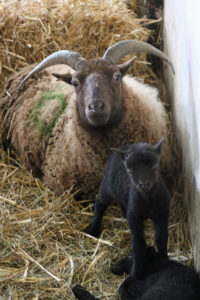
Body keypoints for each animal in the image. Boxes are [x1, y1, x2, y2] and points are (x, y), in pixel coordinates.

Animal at [86, 139, 170, 278]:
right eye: (129, 170)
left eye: (154, 166)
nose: (144, 184)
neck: (148, 201)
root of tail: (123, 147)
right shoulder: (135, 218)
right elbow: (138, 245)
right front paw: (136, 274)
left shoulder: (162, 214)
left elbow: (161, 239)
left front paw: (165, 261)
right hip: (107, 185)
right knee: (100, 202)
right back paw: (93, 228)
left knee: (122, 204)